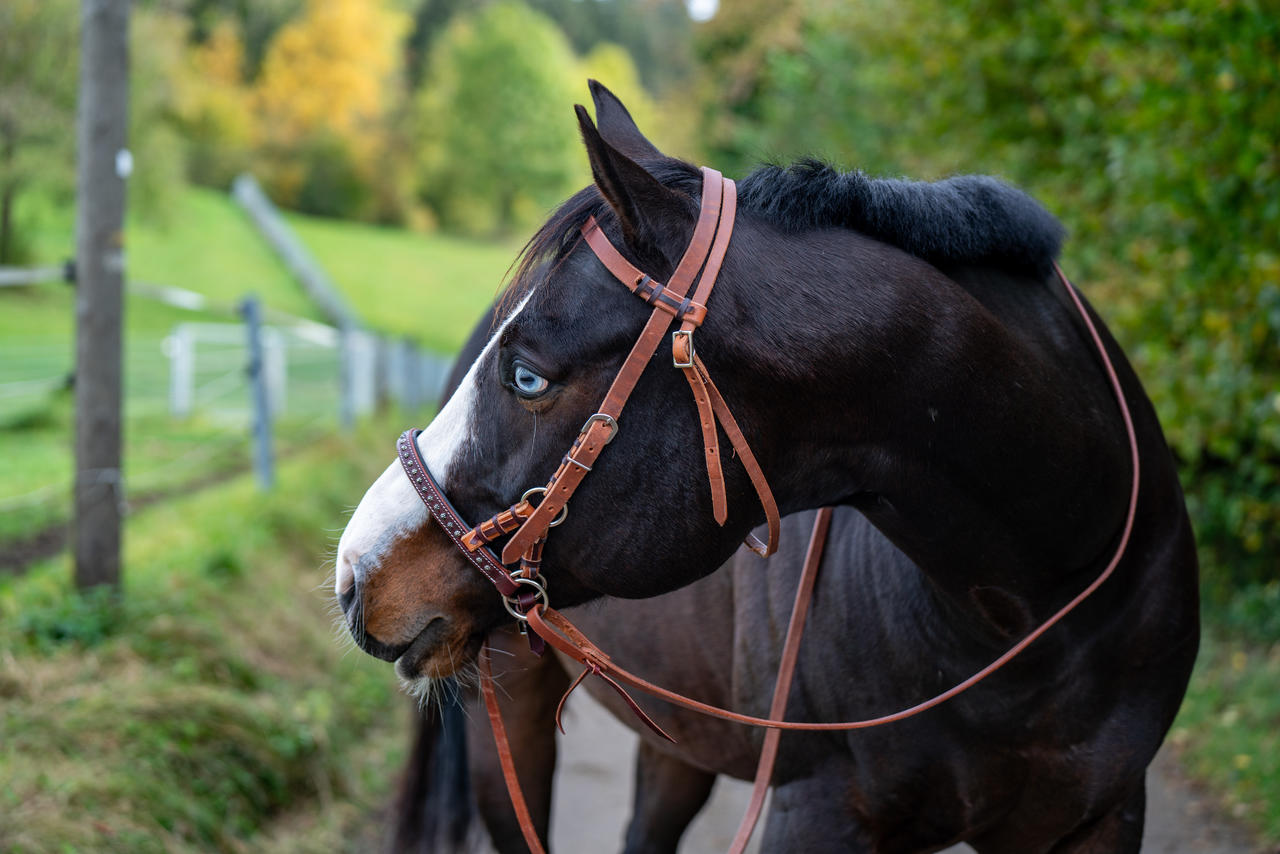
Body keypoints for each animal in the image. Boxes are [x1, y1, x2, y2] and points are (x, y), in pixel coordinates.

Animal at [337, 81, 1198, 854]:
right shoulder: (817, 811)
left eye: (526, 377)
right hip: (510, 714)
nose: (353, 572)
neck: (1039, 605)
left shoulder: (1101, 816)